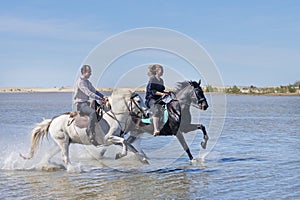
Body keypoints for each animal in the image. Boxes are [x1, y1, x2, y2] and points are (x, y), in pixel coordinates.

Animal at [19, 89, 148, 167]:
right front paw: (119, 155)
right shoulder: (108, 138)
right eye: (138, 101)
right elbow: (125, 143)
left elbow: (129, 145)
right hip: (63, 142)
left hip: (60, 143)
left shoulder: (114, 139)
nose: (148, 113)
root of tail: (52, 121)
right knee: (65, 158)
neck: (114, 117)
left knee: (48, 154)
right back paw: (74, 169)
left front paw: (143, 160)